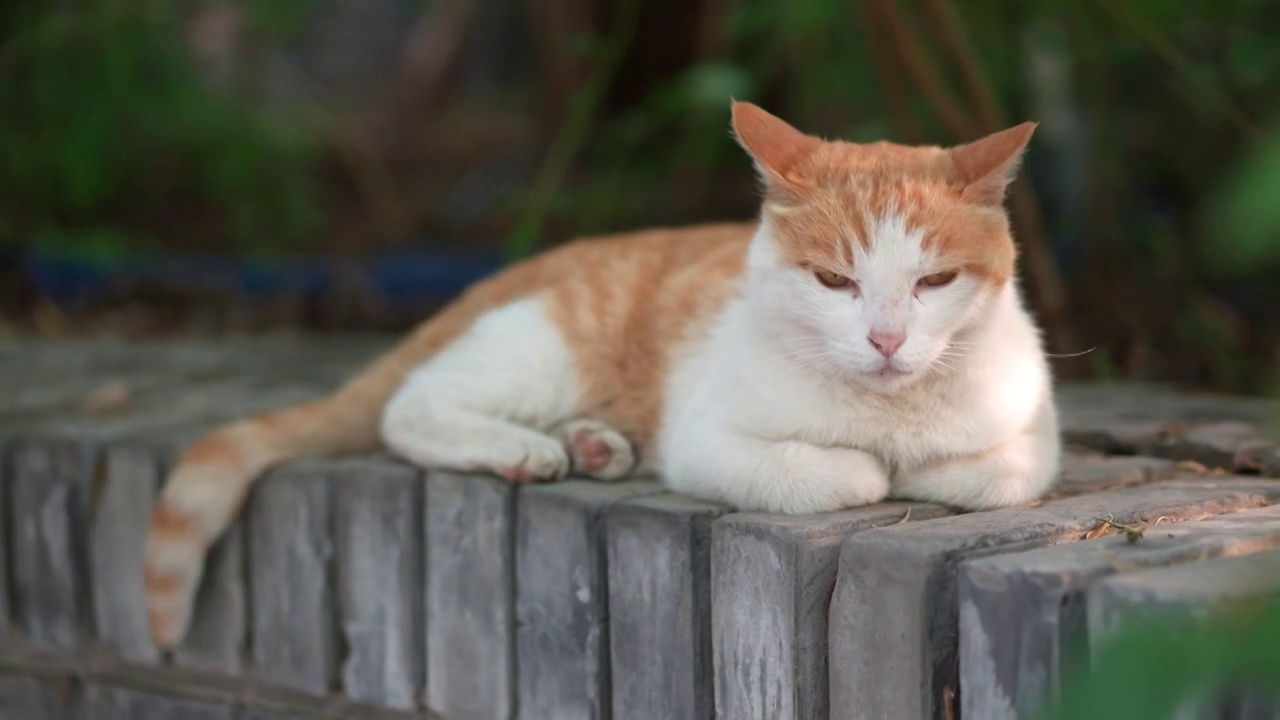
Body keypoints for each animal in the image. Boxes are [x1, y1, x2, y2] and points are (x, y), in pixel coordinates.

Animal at [140, 99, 1059, 645]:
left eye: (934, 282)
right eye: (835, 281)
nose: (886, 340)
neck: (889, 413)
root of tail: (540, 260)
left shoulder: (1031, 435)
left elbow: (997, 471)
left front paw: (929, 463)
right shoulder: (705, 441)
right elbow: (850, 475)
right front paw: (875, 466)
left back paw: (595, 447)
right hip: (544, 351)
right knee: (411, 403)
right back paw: (526, 450)